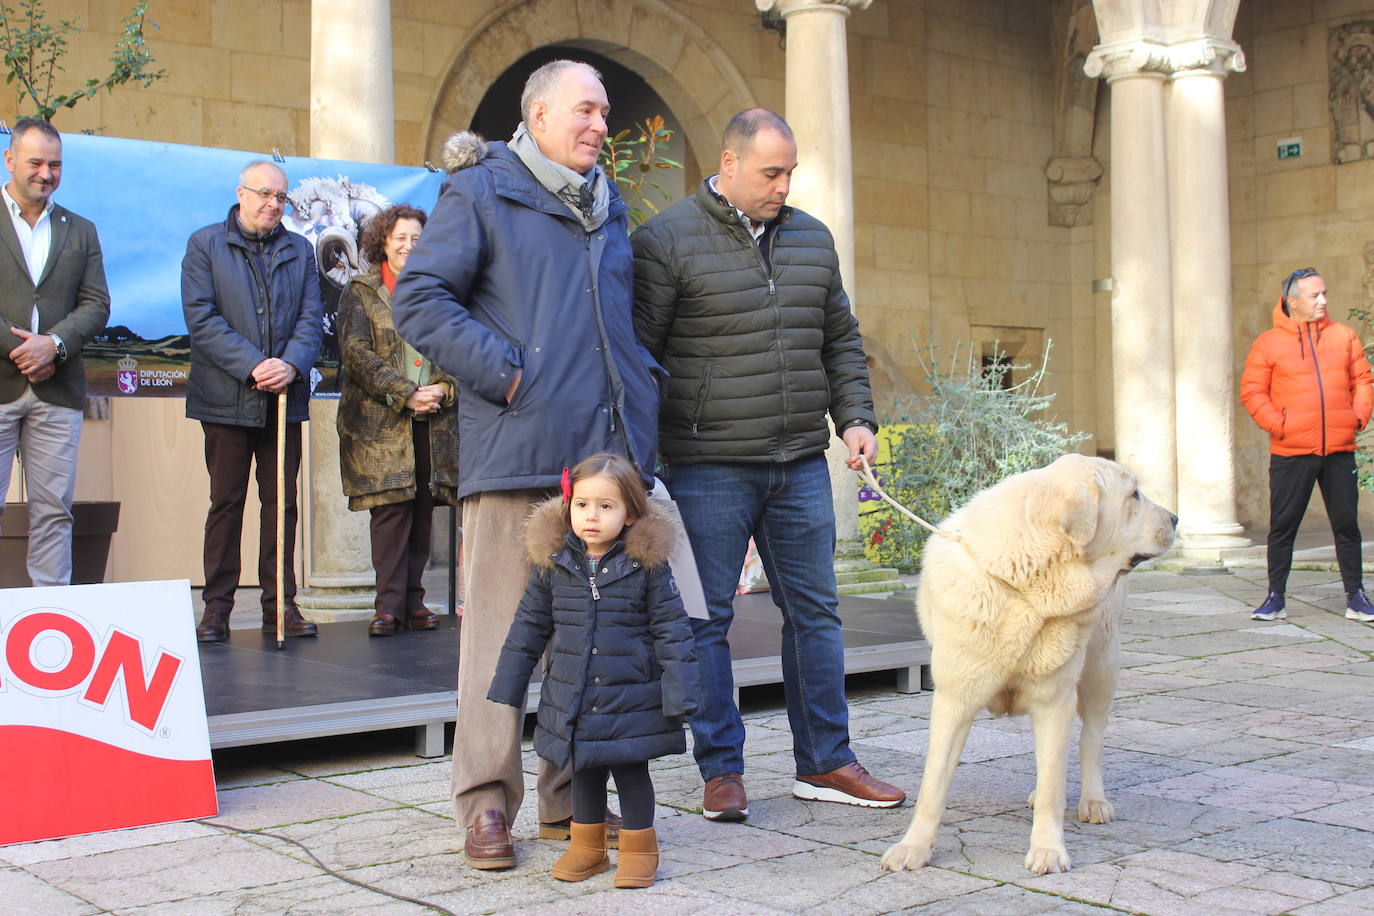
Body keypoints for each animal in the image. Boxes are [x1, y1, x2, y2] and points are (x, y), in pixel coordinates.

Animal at [884, 455, 1176, 878]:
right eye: (1134, 495)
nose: (1176, 518)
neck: (1025, 587)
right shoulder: (954, 701)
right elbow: (933, 784)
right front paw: (914, 847)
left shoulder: (1055, 700)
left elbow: (1054, 778)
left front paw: (1048, 851)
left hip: (1101, 667)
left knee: (1090, 738)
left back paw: (1093, 800)